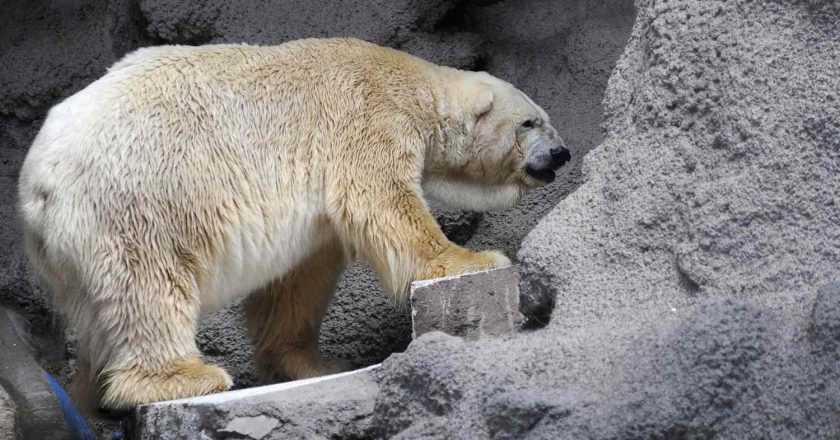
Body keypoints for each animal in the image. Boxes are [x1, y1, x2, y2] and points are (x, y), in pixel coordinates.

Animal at [18, 38, 570, 410]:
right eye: (531, 122)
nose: (562, 153)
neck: (411, 82)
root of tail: (38, 182)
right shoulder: (366, 116)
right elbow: (384, 202)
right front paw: (473, 257)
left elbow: (297, 282)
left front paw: (313, 363)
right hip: (136, 199)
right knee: (147, 287)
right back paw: (185, 375)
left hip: (72, 251)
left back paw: (87, 393)